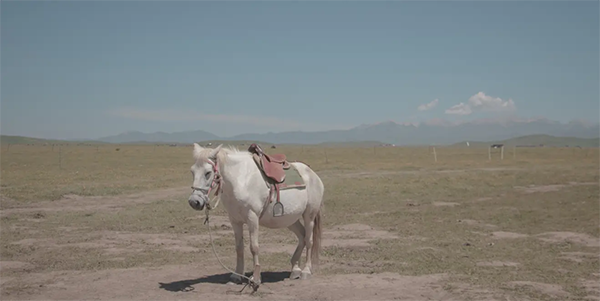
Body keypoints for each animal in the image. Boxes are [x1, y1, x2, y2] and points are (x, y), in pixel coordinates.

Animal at [189, 143, 326, 284]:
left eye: (208, 173)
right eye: (192, 171)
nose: (194, 202)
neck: (240, 180)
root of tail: (313, 175)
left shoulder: (252, 218)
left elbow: (254, 247)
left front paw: (255, 278)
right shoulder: (235, 221)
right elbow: (239, 248)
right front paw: (237, 276)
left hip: (309, 216)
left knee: (309, 240)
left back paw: (306, 271)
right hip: (290, 220)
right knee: (301, 236)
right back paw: (295, 270)